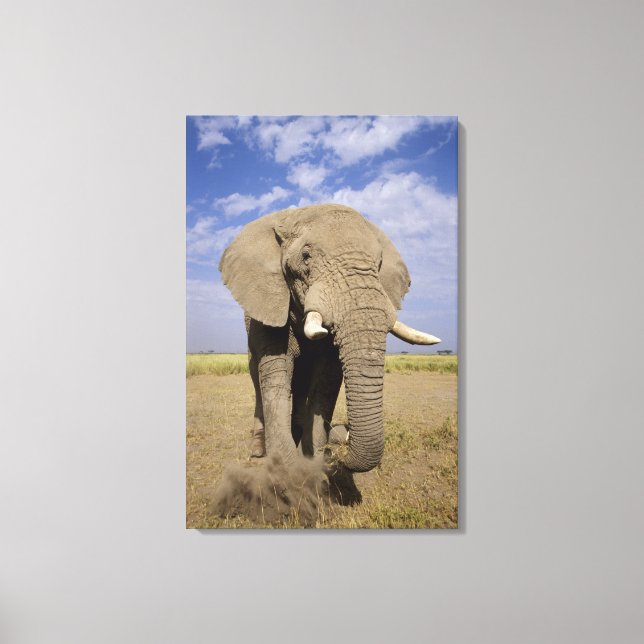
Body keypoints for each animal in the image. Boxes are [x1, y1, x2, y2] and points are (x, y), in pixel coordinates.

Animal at [219, 203, 440, 473]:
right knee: (258, 381)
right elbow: (277, 372)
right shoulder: (269, 305)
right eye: (306, 256)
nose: (338, 449)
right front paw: (287, 467)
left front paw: (312, 459)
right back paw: (259, 450)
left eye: (378, 263)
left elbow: (327, 378)